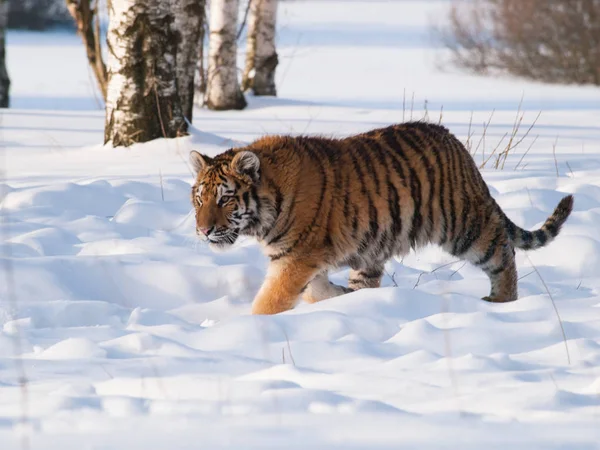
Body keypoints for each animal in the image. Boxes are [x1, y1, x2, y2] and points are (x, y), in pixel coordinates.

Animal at [190, 121, 576, 314]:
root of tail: (458, 147)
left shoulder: (296, 259)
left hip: (463, 226)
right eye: (199, 199)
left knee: (503, 253)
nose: (204, 231)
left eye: (225, 199)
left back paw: (502, 303)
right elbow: (316, 291)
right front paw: (339, 297)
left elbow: (270, 301)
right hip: (372, 249)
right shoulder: (301, 260)